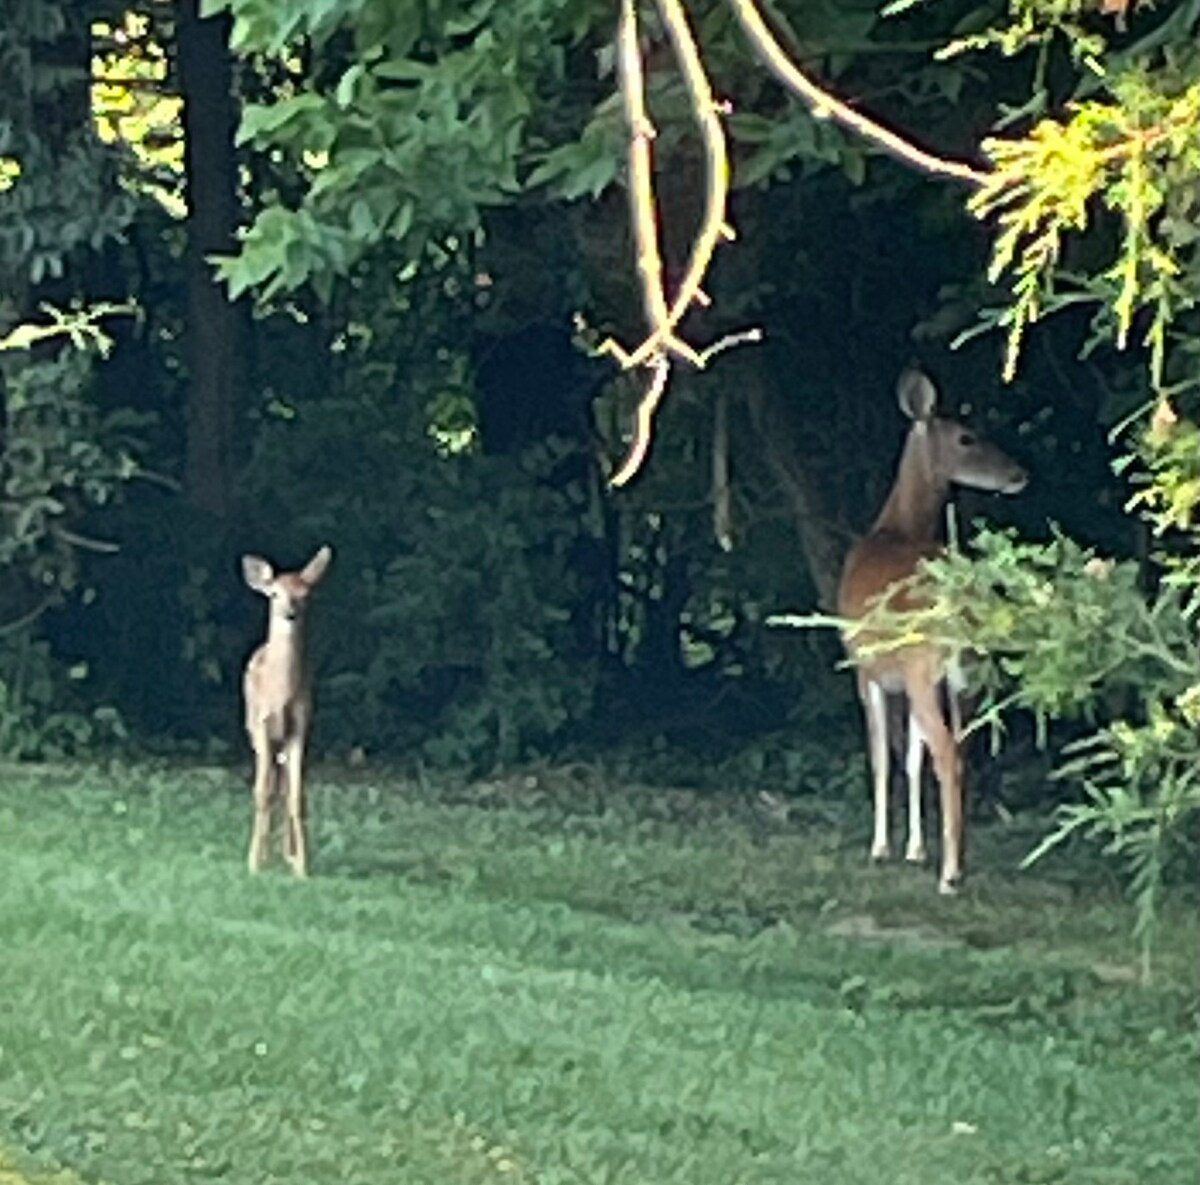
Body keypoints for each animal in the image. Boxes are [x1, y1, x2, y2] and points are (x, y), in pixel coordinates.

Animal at [241, 544, 333, 868]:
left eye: (305, 594)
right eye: (273, 594)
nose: (290, 614)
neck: (280, 694)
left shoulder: (300, 728)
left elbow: (296, 797)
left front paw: (302, 866)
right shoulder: (262, 725)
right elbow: (262, 793)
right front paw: (254, 863)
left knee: (282, 786)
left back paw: (285, 853)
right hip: (253, 730)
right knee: (269, 785)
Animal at [840, 364, 1027, 892]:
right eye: (967, 436)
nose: (1018, 474)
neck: (895, 528)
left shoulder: (867, 668)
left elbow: (884, 757)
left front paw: (882, 848)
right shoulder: (904, 677)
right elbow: (909, 758)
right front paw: (914, 850)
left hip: (926, 671)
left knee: (945, 751)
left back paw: (949, 876)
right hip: (965, 678)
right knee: (960, 752)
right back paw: (957, 859)